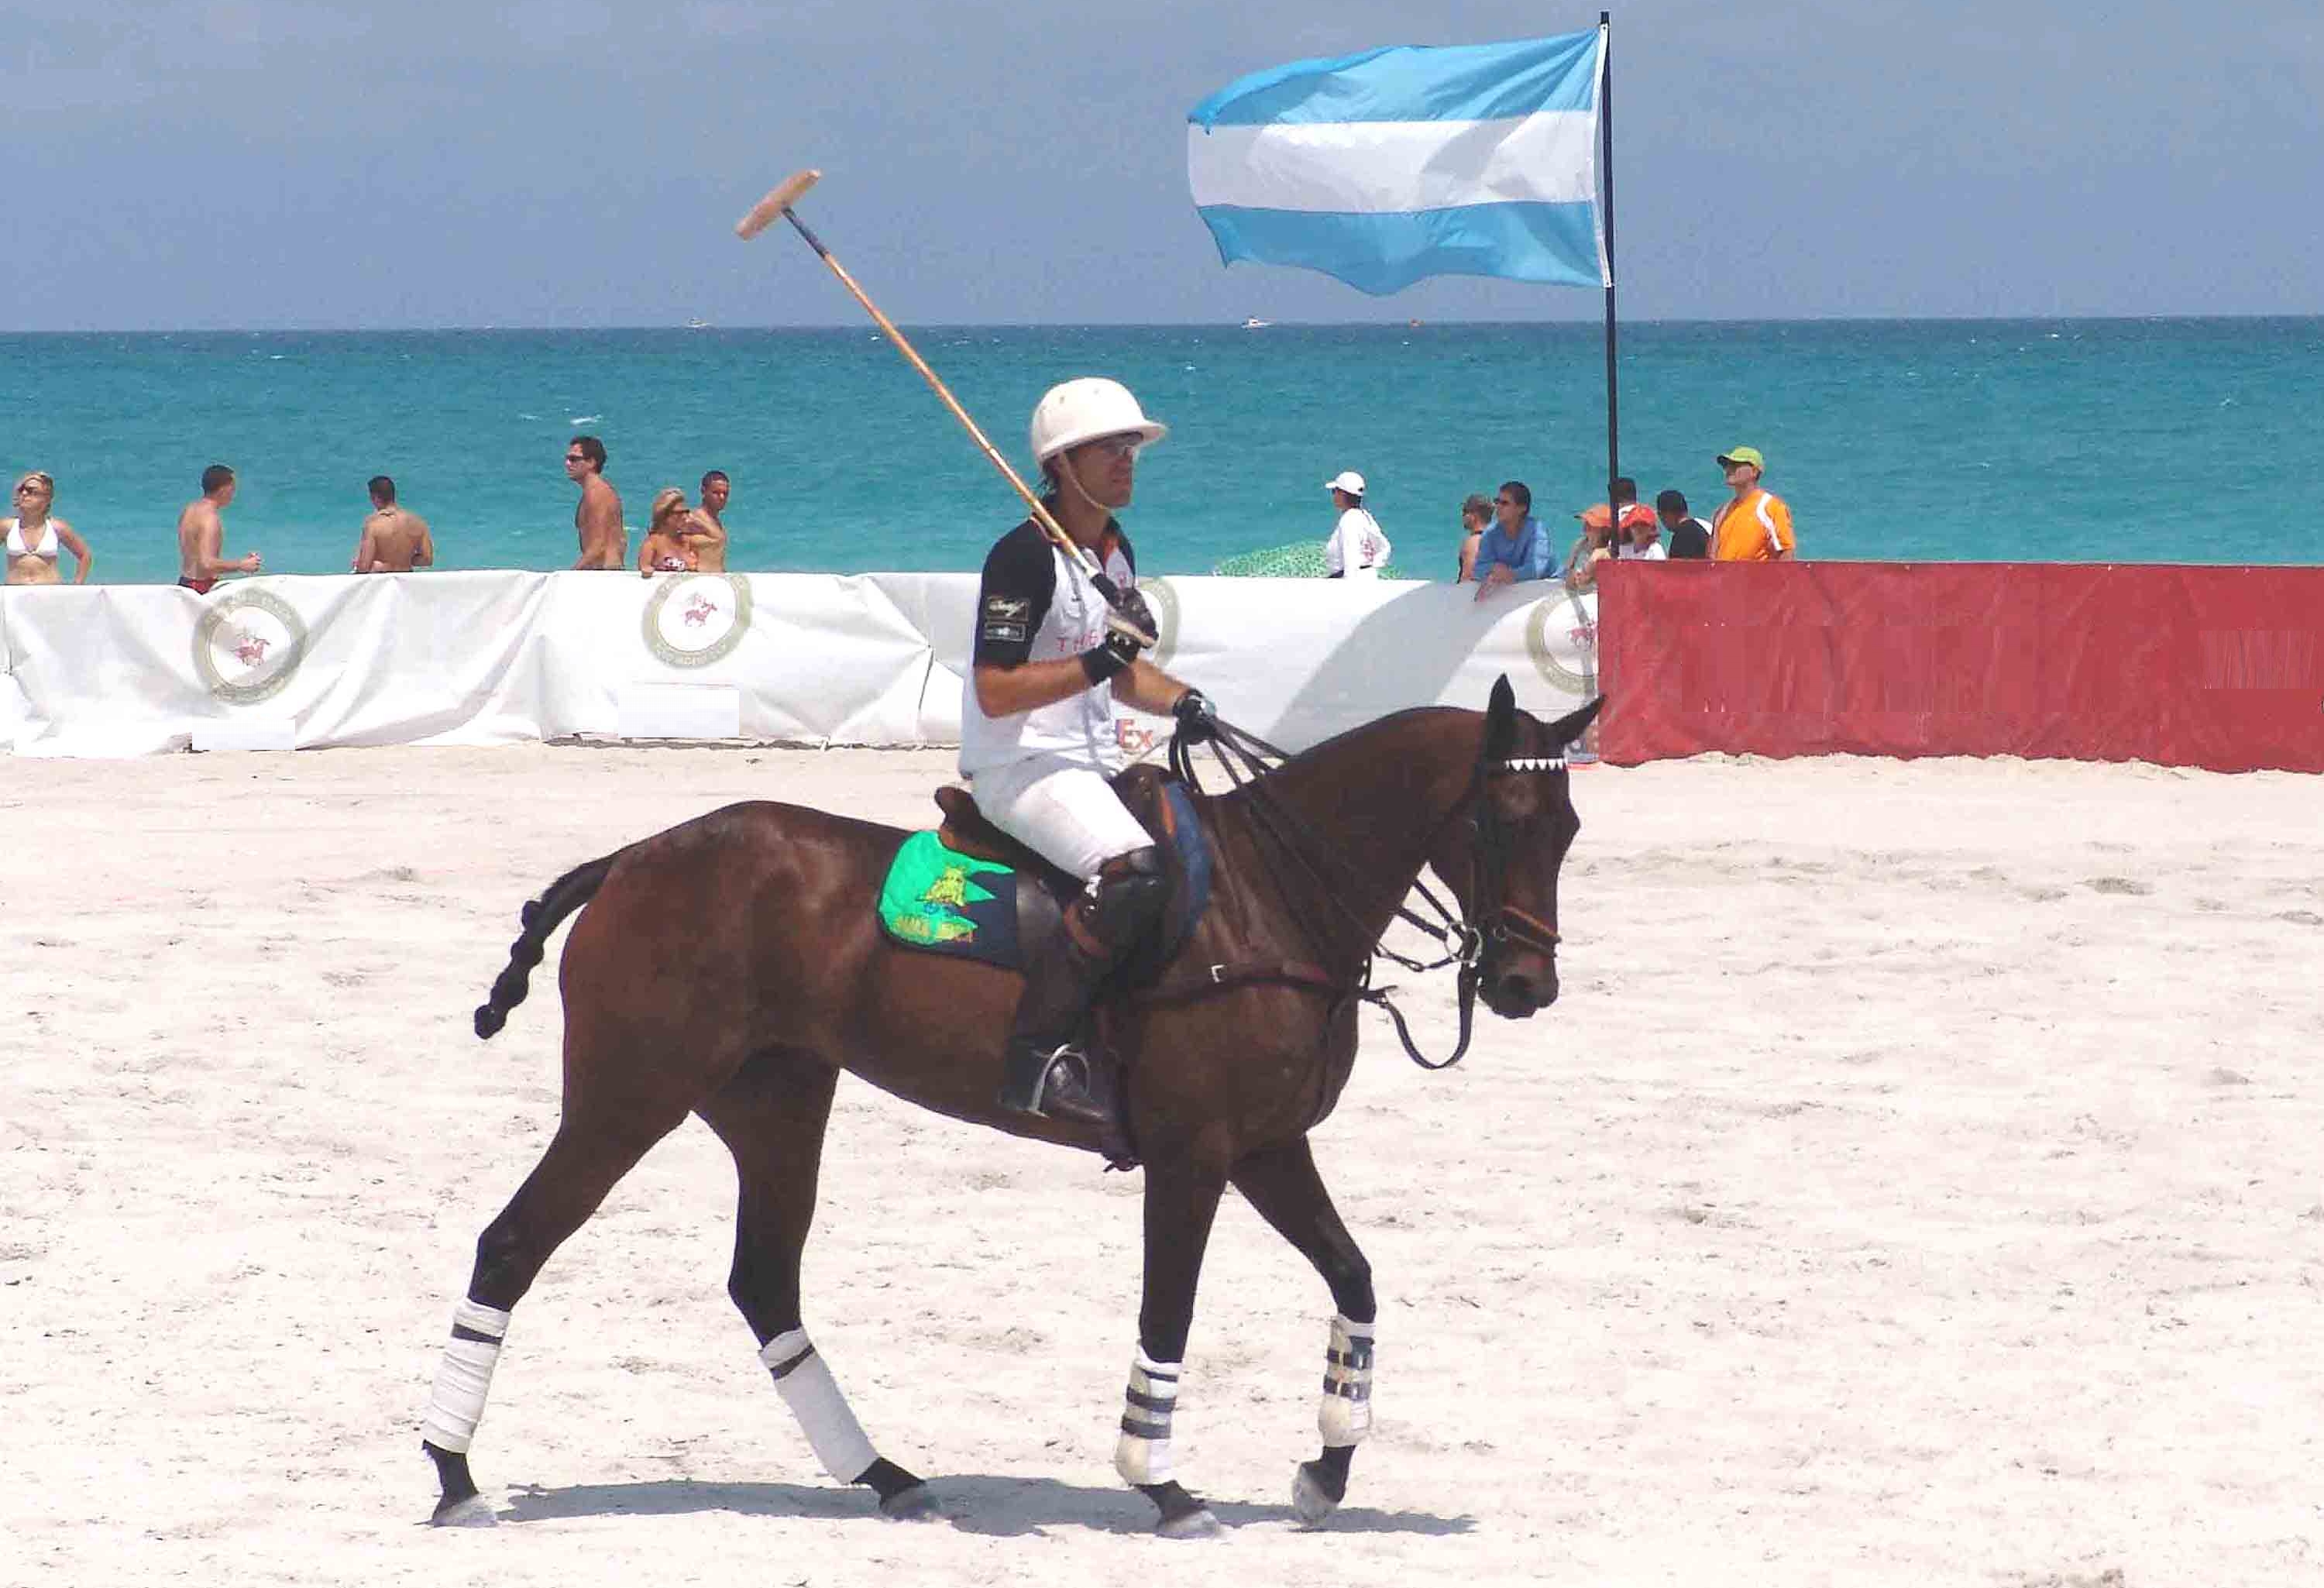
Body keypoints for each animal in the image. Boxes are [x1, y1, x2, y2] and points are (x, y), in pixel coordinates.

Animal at [418, 679, 1599, 1534]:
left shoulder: (1269, 1146)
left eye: (1571, 825)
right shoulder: (1195, 1153)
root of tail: (628, 862)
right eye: (1503, 819)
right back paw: (453, 1470)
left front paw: (1326, 1470)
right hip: (629, 1094)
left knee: (763, 1282)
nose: (1524, 984)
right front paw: (1163, 1483)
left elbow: (1354, 1277)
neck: (1271, 901)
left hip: (777, 1101)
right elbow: (1168, 1311)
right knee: (511, 1243)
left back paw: (886, 1472)